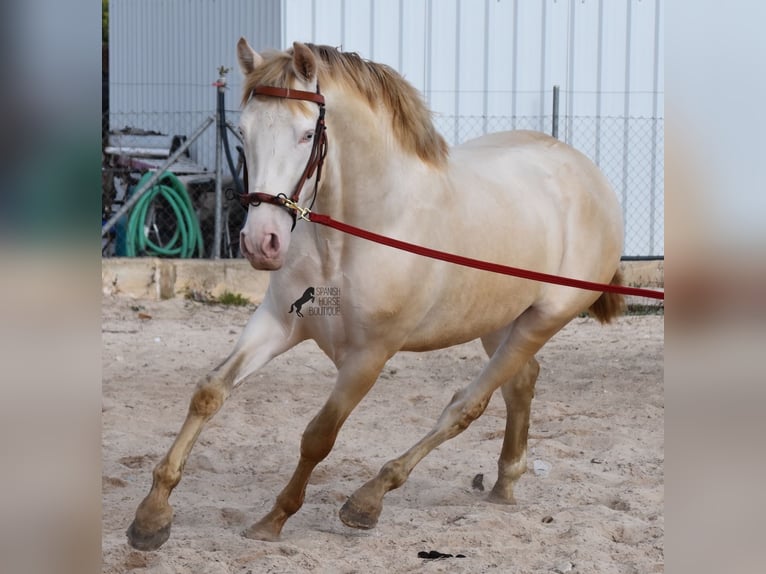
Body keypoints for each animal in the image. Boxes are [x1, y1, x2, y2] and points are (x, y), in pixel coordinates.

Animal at [126, 38, 628, 552]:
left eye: (306, 135)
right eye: (242, 133)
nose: (260, 242)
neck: (357, 231)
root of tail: (588, 175)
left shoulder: (369, 356)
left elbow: (319, 436)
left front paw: (274, 519)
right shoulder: (278, 323)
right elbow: (209, 392)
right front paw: (152, 516)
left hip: (541, 321)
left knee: (466, 406)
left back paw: (369, 500)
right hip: (497, 322)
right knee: (521, 382)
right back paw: (504, 484)